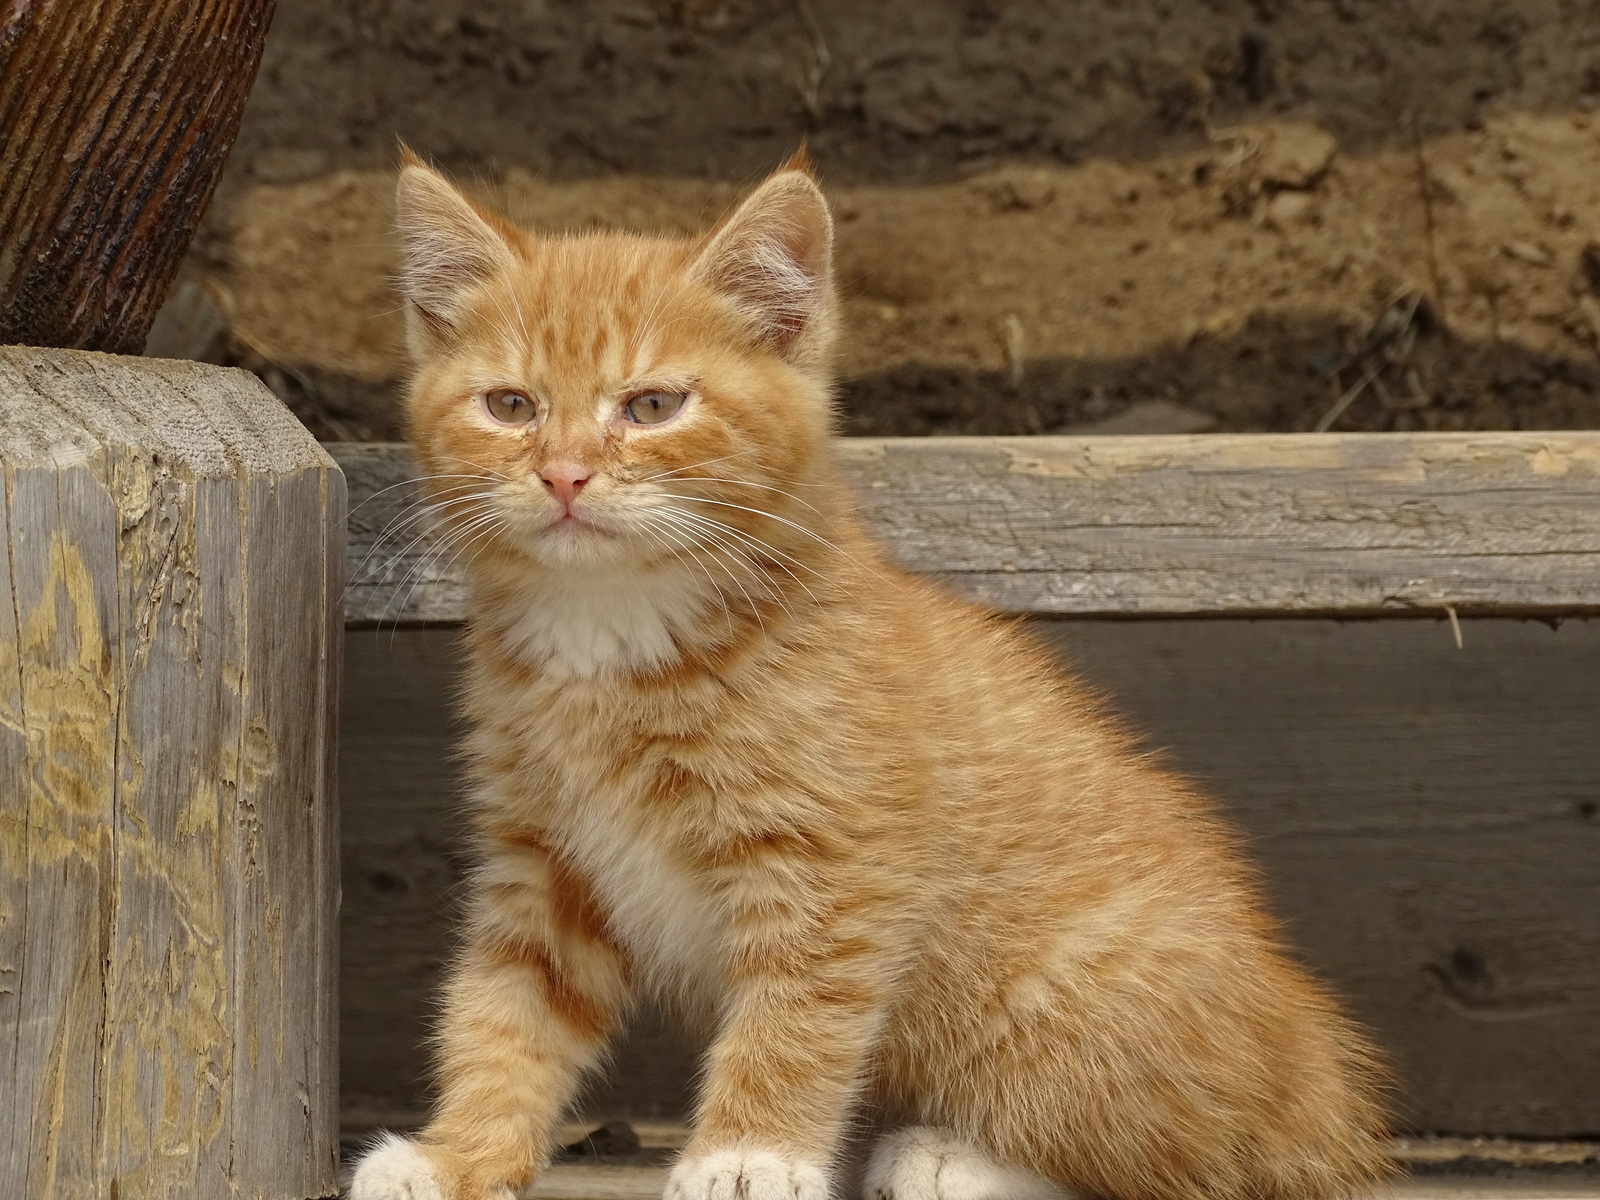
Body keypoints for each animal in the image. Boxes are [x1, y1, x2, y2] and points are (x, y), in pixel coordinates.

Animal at [353, 152, 1388, 1200]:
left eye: (650, 407)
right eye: (510, 407)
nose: (564, 476)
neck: (611, 633)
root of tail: (1317, 1068)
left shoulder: (834, 865)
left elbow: (795, 1020)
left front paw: (748, 1155)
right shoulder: (543, 863)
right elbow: (504, 1012)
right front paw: (458, 1154)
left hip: (1064, 1004)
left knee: (1188, 1162)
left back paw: (949, 1158)